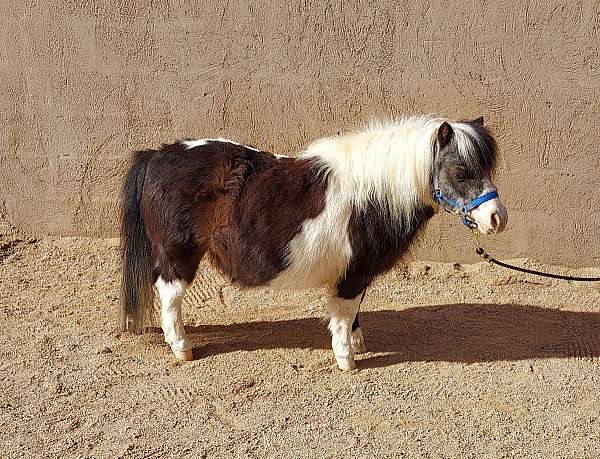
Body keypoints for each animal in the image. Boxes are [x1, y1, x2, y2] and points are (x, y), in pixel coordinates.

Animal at [120, 115, 506, 370]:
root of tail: (157, 155)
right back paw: (182, 347)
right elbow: (344, 311)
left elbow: (353, 309)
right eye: (460, 172)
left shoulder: (355, 272)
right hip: (178, 254)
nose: (497, 218)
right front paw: (346, 358)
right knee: (169, 294)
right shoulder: (353, 273)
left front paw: (356, 342)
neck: (375, 193)